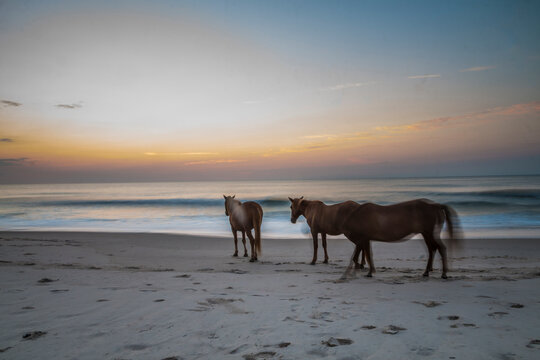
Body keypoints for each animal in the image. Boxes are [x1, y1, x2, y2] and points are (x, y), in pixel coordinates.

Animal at [288, 197, 462, 278]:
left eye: (291, 206)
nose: (292, 220)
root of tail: (436, 205)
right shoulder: (328, 232)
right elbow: (327, 246)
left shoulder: (316, 231)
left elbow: (317, 246)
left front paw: (313, 261)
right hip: (427, 234)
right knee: (433, 249)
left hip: (429, 233)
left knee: (439, 248)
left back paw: (442, 273)